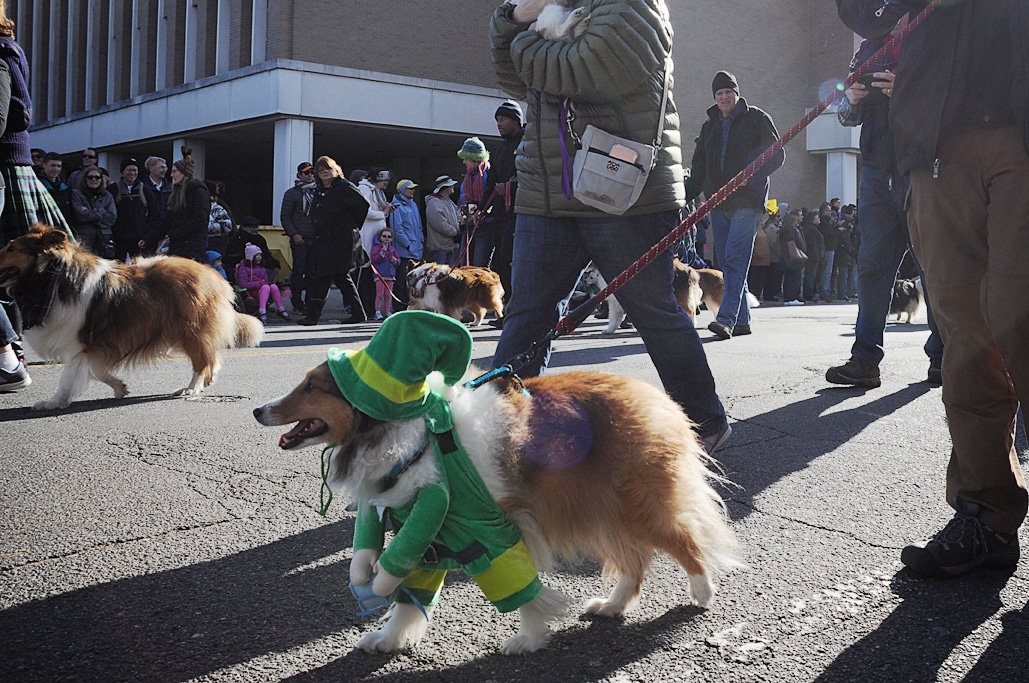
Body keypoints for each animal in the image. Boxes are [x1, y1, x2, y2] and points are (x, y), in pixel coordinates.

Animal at [1, 224, 265, 407]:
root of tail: (213, 273)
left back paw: (191, 389)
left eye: (12, 248)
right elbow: (97, 370)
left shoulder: (79, 343)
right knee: (211, 357)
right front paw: (120, 388)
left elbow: (68, 379)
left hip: (191, 331)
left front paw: (53, 402)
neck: (56, 277)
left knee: (202, 361)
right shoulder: (92, 345)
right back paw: (207, 381)